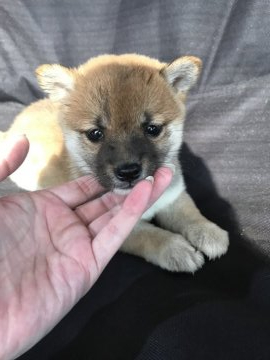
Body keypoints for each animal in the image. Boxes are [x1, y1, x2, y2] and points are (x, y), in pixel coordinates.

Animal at [2, 53, 230, 272]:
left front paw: (209, 231)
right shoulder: (127, 229)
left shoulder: (172, 196)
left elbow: (190, 214)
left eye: (153, 129)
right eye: (95, 133)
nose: (128, 171)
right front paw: (176, 249)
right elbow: (152, 236)